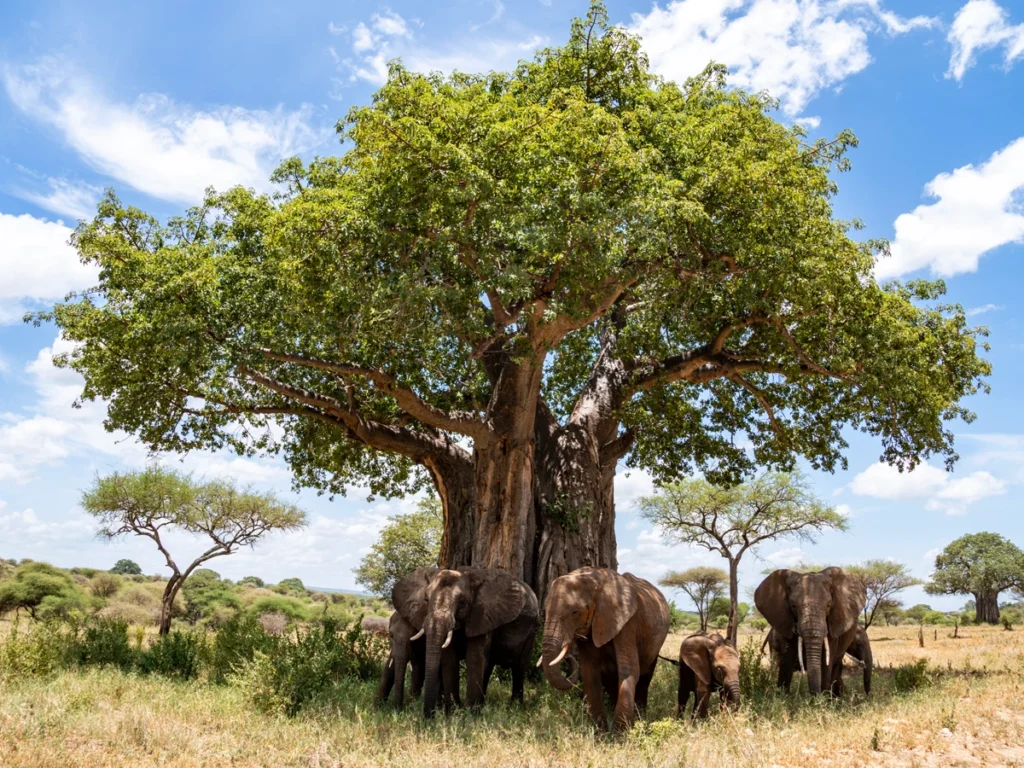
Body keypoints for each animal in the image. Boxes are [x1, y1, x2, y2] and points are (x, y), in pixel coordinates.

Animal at [391, 565, 540, 720]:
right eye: (426, 599)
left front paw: (469, 717)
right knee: (489, 666)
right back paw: (483, 704)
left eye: (462, 602)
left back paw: (514, 707)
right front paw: (452, 713)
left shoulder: (482, 616)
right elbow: (450, 659)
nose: (428, 717)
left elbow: (474, 657)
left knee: (519, 666)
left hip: (533, 629)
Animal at [536, 569, 671, 729]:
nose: (568, 656)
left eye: (575, 612)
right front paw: (601, 732)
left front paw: (622, 733)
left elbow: (628, 669)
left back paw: (641, 719)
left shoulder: (628, 624)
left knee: (645, 677)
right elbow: (589, 672)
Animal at [753, 565, 864, 696]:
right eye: (793, 605)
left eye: (828, 605)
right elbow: (787, 658)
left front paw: (823, 699)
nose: (815, 696)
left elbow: (826, 661)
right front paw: (782, 697)